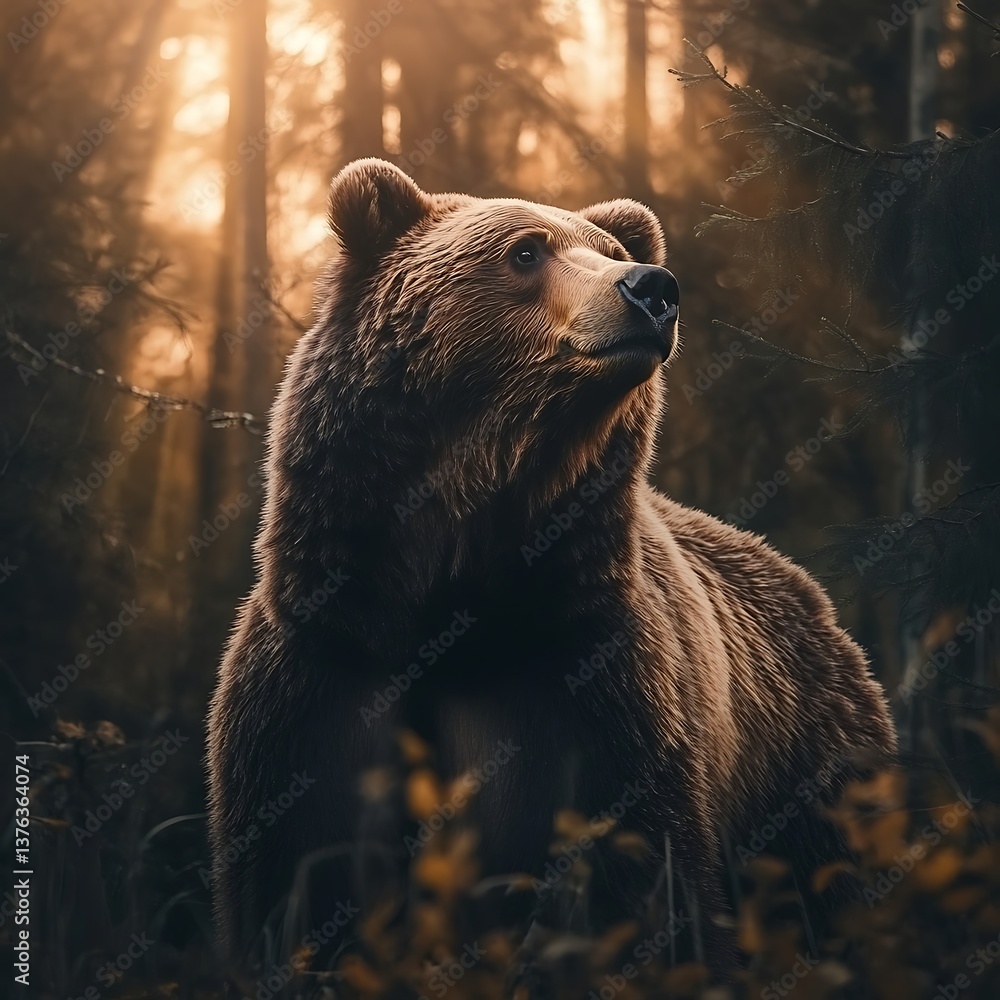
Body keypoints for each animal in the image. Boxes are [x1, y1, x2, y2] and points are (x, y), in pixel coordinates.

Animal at [206, 158, 897, 978]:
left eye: (608, 247)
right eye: (526, 250)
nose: (653, 288)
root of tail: (809, 591)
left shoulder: (588, 682)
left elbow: (640, 889)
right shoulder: (321, 677)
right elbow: (299, 885)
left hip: (807, 759)